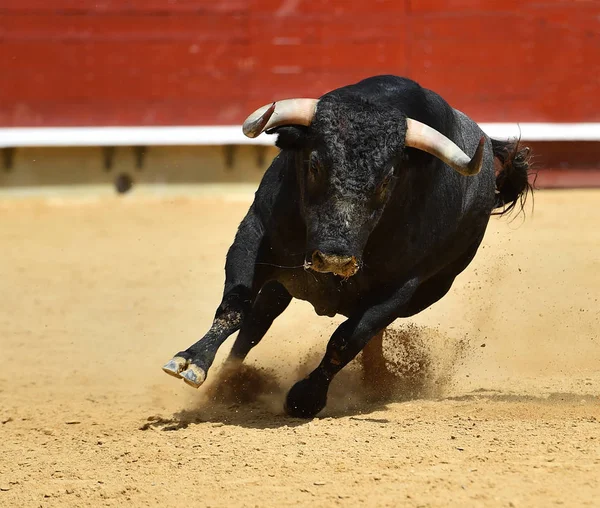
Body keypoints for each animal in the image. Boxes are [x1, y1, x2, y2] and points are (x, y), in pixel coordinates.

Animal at [162, 74, 532, 416]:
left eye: (386, 180)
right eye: (314, 163)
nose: (334, 259)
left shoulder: (401, 286)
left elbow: (347, 339)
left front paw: (305, 399)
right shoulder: (253, 234)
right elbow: (234, 307)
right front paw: (191, 361)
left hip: (427, 291)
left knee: (367, 333)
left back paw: (374, 381)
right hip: (283, 281)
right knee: (259, 319)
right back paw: (228, 384)